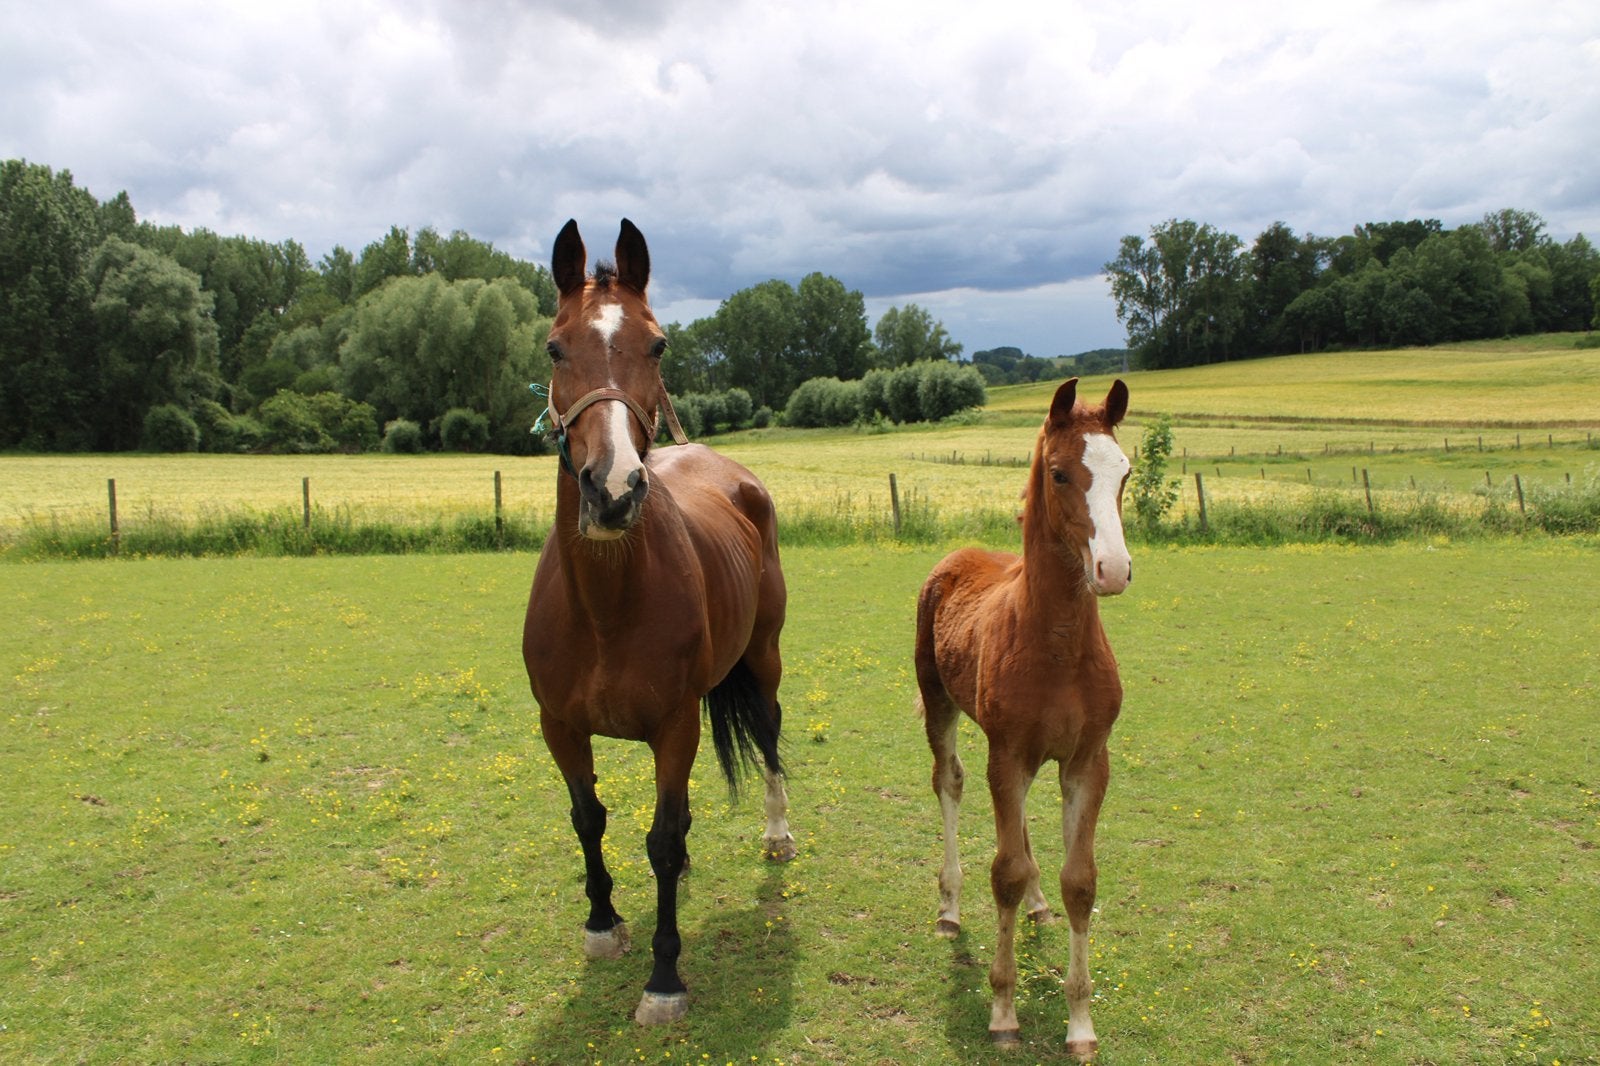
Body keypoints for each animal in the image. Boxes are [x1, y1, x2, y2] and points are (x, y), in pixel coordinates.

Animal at [521, 219, 795, 1027]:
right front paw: (601, 923)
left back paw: (778, 833)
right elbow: (590, 819)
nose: (612, 491)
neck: (606, 609)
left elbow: (664, 842)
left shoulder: (675, 726)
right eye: (555, 347)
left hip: (763, 658)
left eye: (659, 346)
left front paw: (664, 978)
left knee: (770, 732)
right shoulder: (559, 726)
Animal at [914, 376, 1132, 1059]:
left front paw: (1080, 1025)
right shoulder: (1006, 753)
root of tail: (957, 556)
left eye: (1125, 472)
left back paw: (1037, 904)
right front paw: (1004, 1011)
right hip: (940, 704)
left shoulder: (1087, 759)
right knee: (949, 782)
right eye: (1060, 474)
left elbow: (1079, 881)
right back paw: (950, 907)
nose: (1113, 570)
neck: (1057, 644)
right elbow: (1005, 871)